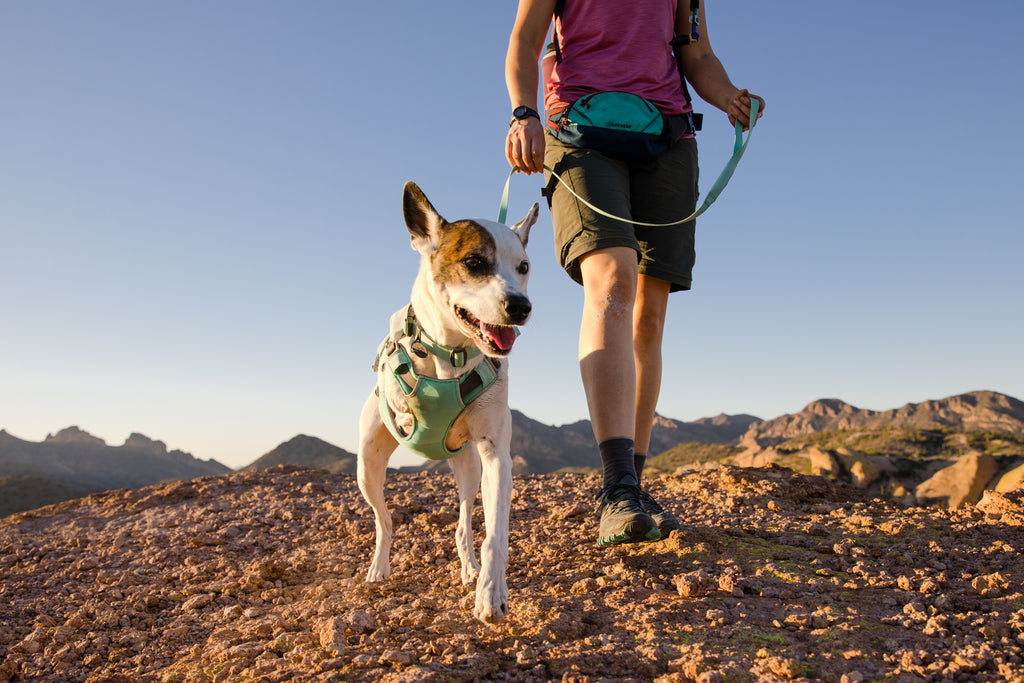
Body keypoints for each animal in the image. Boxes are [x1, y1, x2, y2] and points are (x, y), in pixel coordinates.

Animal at [358, 181, 540, 626]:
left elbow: (495, 536)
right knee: (383, 519)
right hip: (366, 466)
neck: (452, 353)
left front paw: (491, 594)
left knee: (463, 522)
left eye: (523, 267)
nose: (520, 307)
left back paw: (470, 568)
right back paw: (379, 568)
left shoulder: (496, 455)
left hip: (469, 468)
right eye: (474, 262)